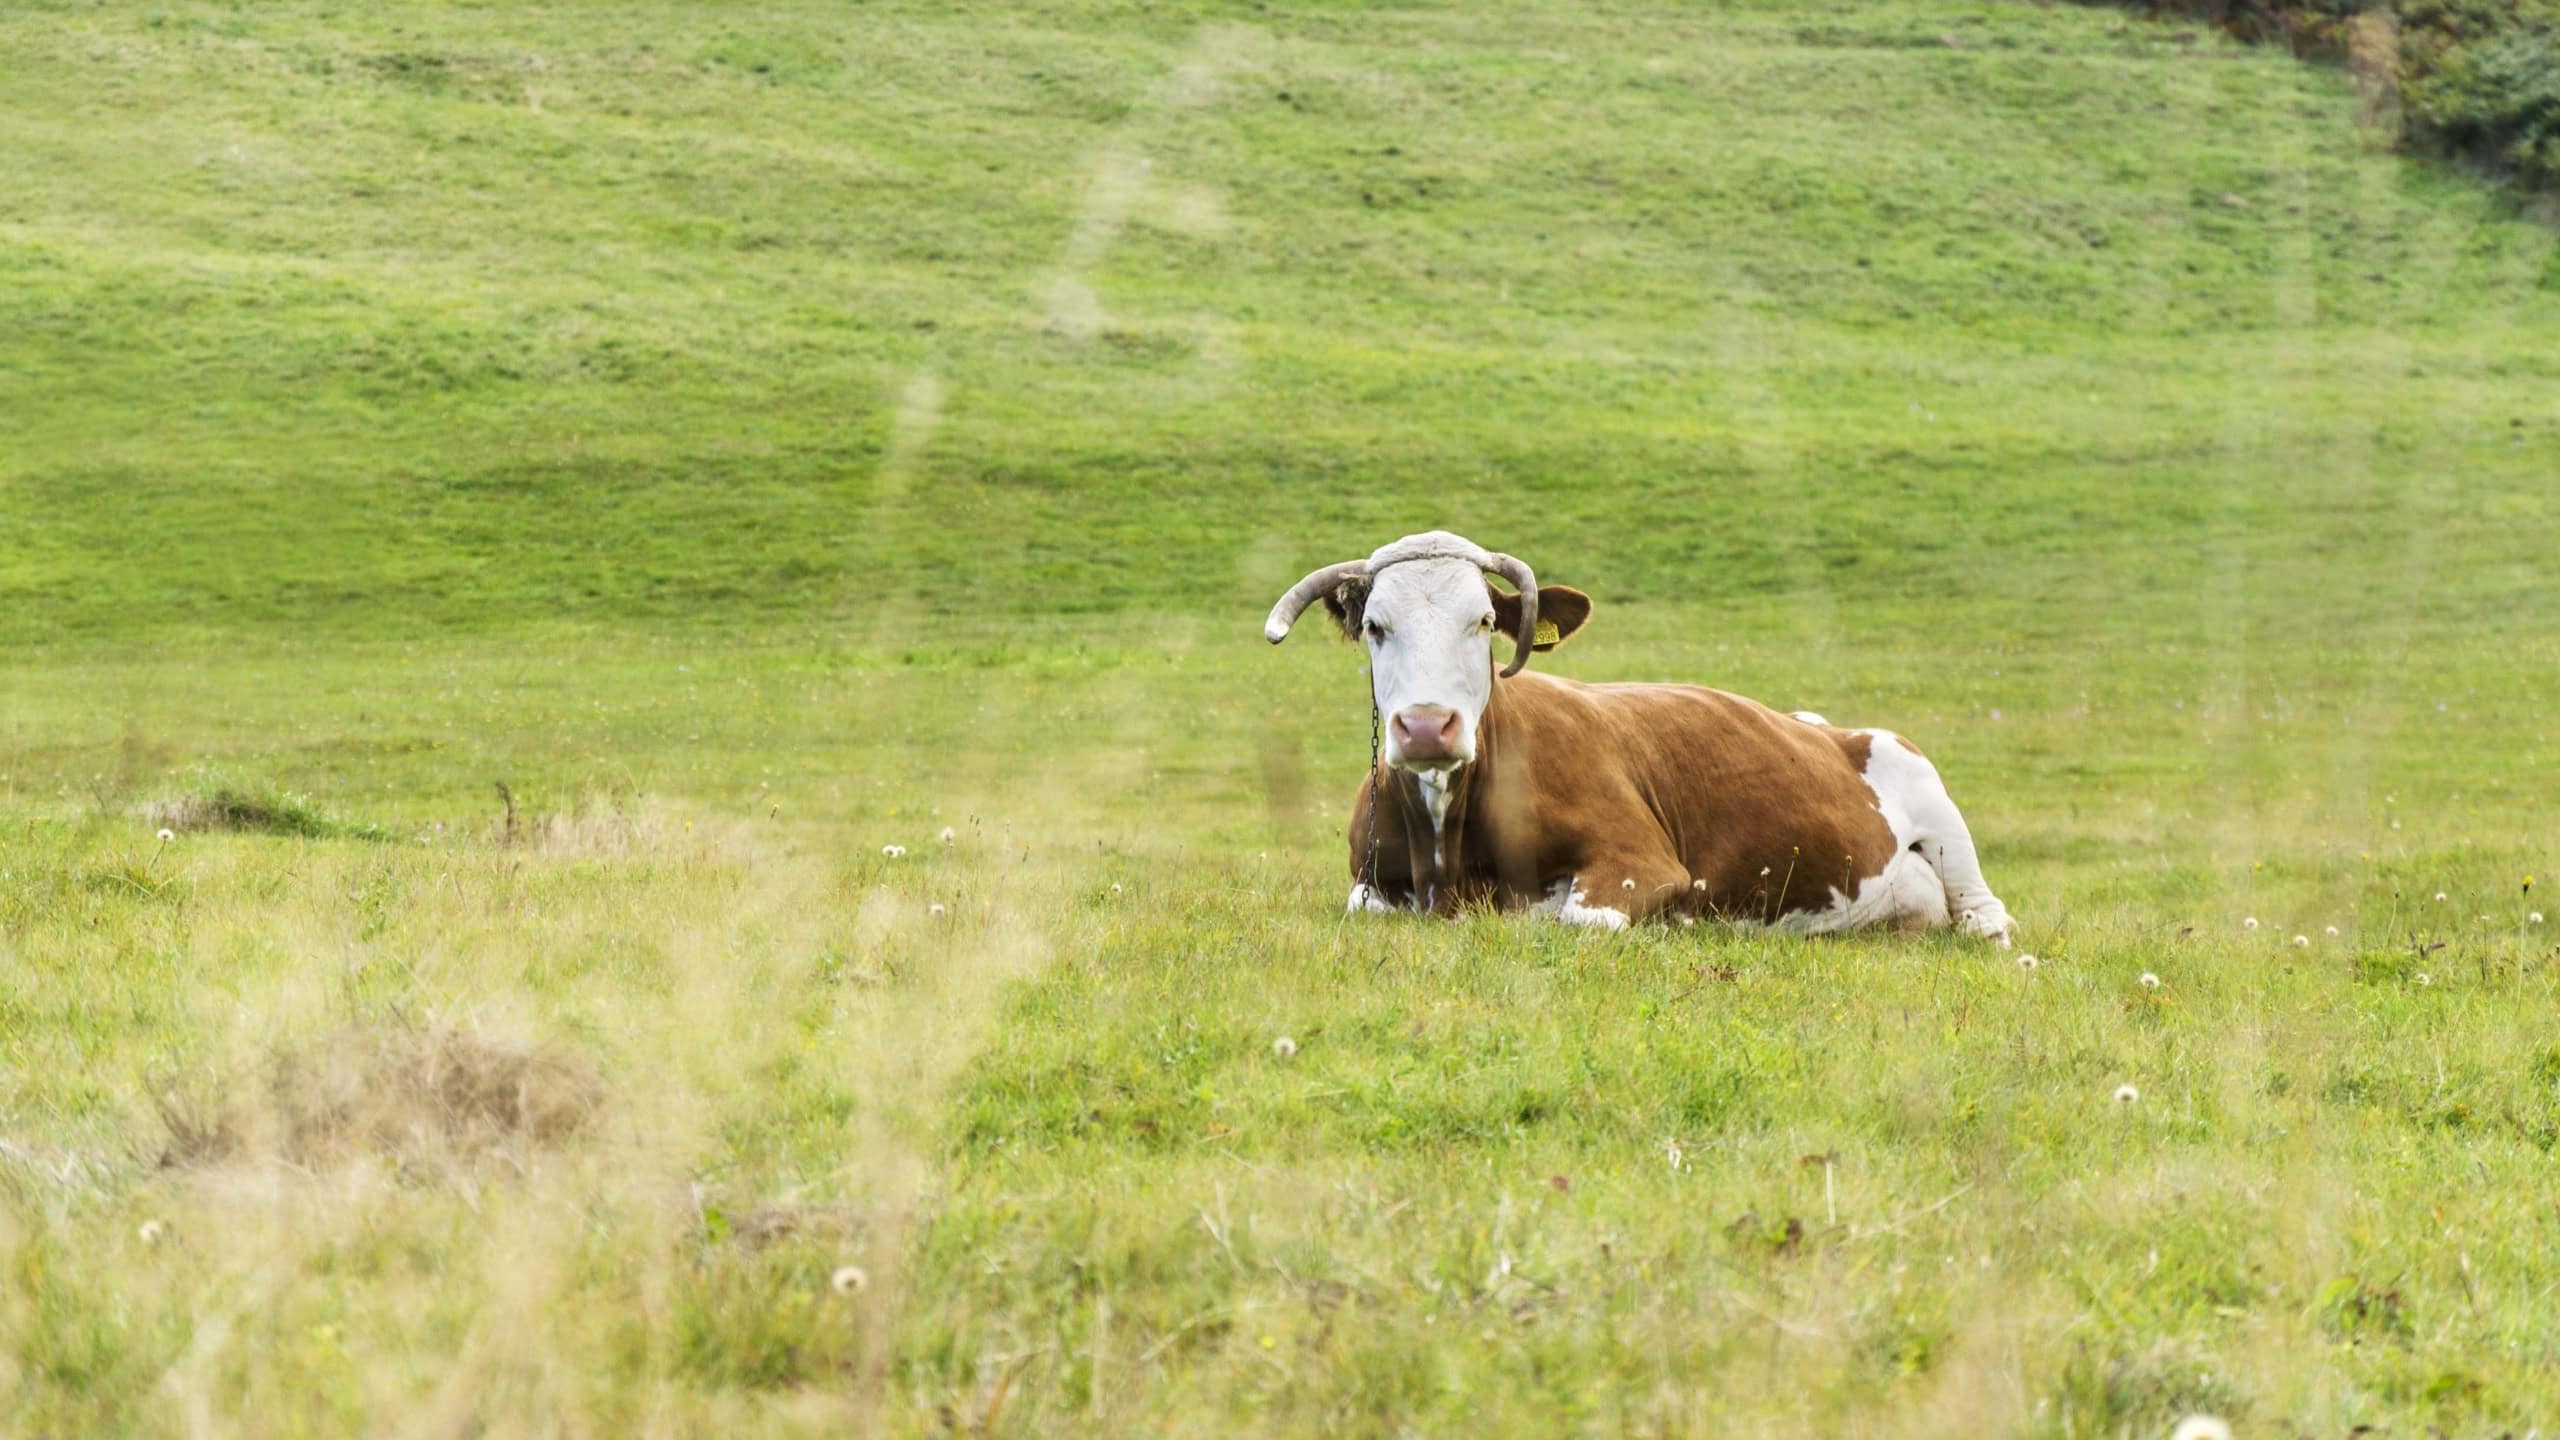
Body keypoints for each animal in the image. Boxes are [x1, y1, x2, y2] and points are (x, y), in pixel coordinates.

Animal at [1263, 531, 2017, 940]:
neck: (1448, 856)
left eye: (1484, 621)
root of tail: (1827, 727)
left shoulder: (1640, 860)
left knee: (1986, 916)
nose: (1425, 725)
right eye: (1374, 626)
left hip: (1923, 784)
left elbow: (1578, 919)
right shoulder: (1369, 885)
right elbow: (1367, 908)